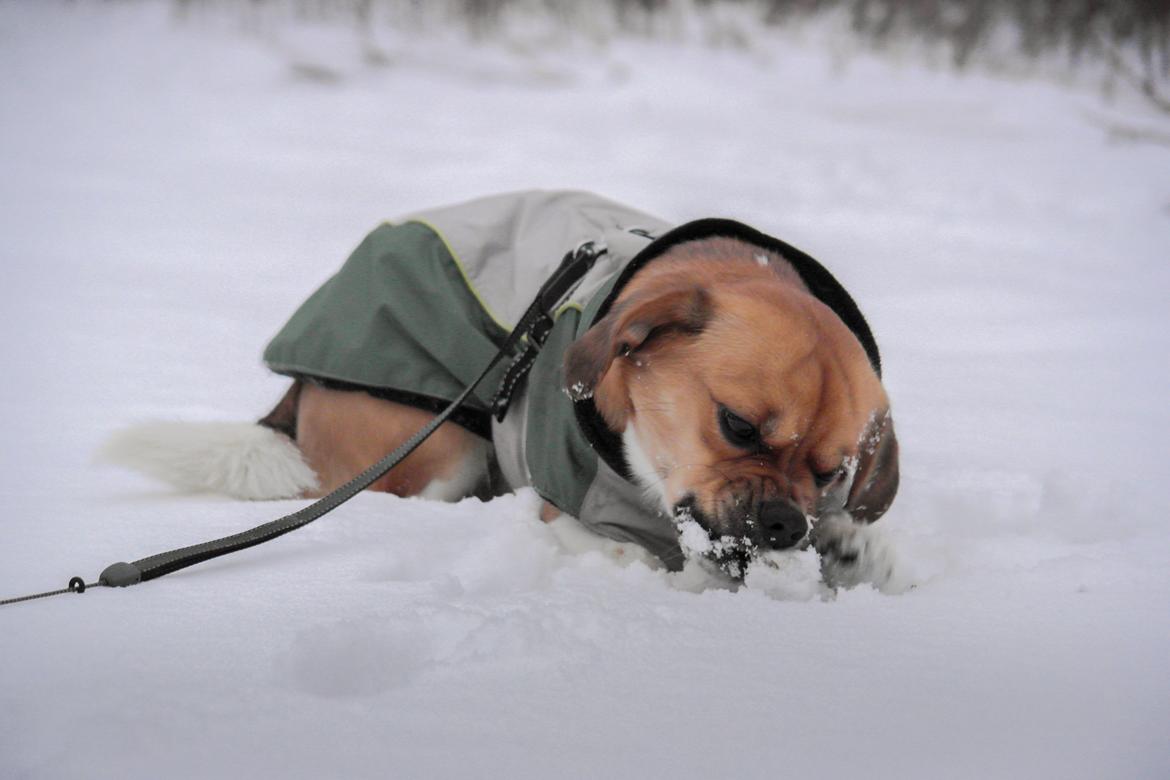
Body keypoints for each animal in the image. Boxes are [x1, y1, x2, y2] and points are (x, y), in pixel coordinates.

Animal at [105, 189, 898, 582]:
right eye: (736, 425)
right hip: (441, 450)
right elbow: (631, 552)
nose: (785, 524)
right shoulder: (568, 507)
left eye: (833, 471)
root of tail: (300, 386)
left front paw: (858, 551)